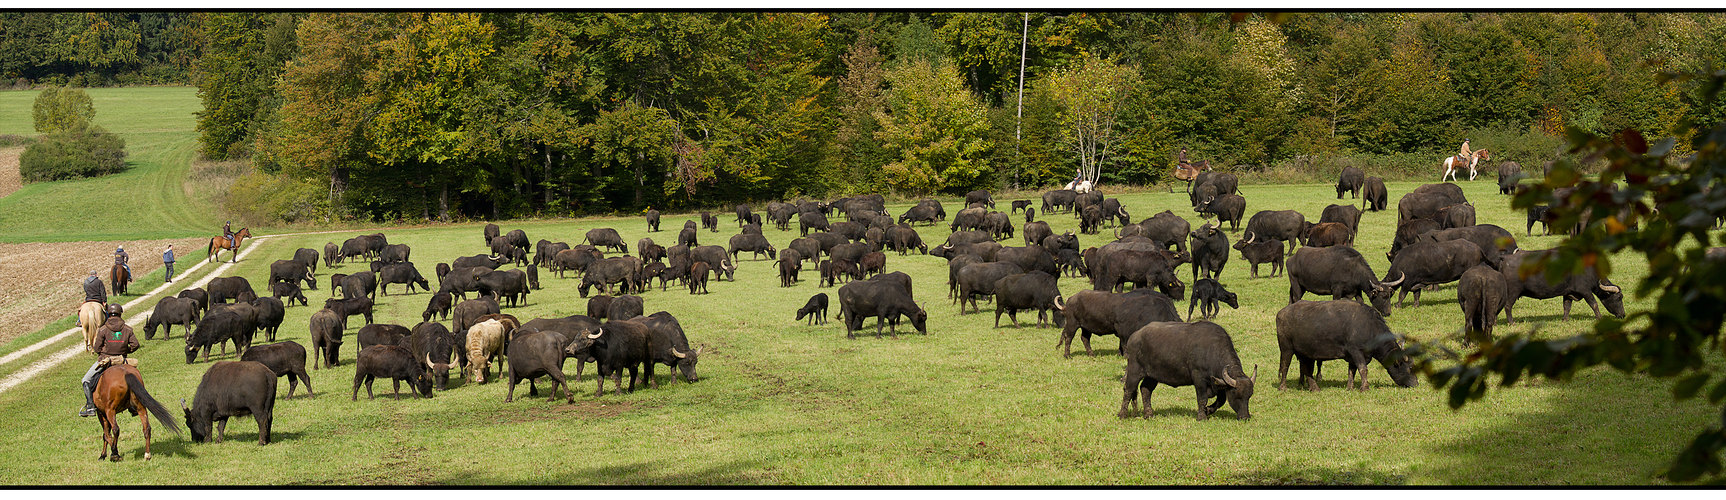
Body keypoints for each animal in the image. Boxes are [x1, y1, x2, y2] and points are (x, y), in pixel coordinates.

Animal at [1118, 318, 1256, 420]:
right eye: (1236, 394)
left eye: (1249, 396)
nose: (1245, 417)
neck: (1211, 350)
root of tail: (1135, 336)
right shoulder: (1199, 379)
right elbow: (1202, 398)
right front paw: (1202, 416)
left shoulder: (1219, 384)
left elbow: (1221, 400)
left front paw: (1208, 410)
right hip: (1134, 370)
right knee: (1129, 389)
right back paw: (1122, 414)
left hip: (1152, 376)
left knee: (1145, 390)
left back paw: (1149, 414)